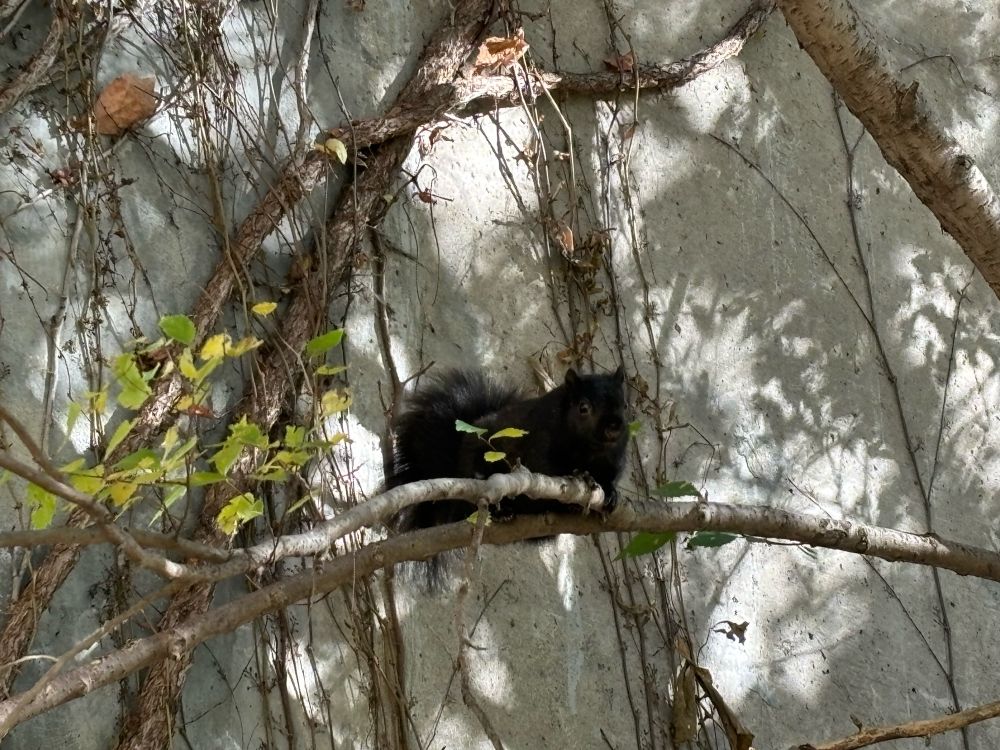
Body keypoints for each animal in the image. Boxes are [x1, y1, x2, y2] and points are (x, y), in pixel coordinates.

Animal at [386, 366, 628, 533]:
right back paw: (502, 512)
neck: (591, 448)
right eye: (583, 408)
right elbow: (547, 469)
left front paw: (610, 491)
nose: (614, 426)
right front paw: (581, 476)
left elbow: (610, 476)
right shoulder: (540, 441)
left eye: (626, 405)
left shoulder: (614, 458)